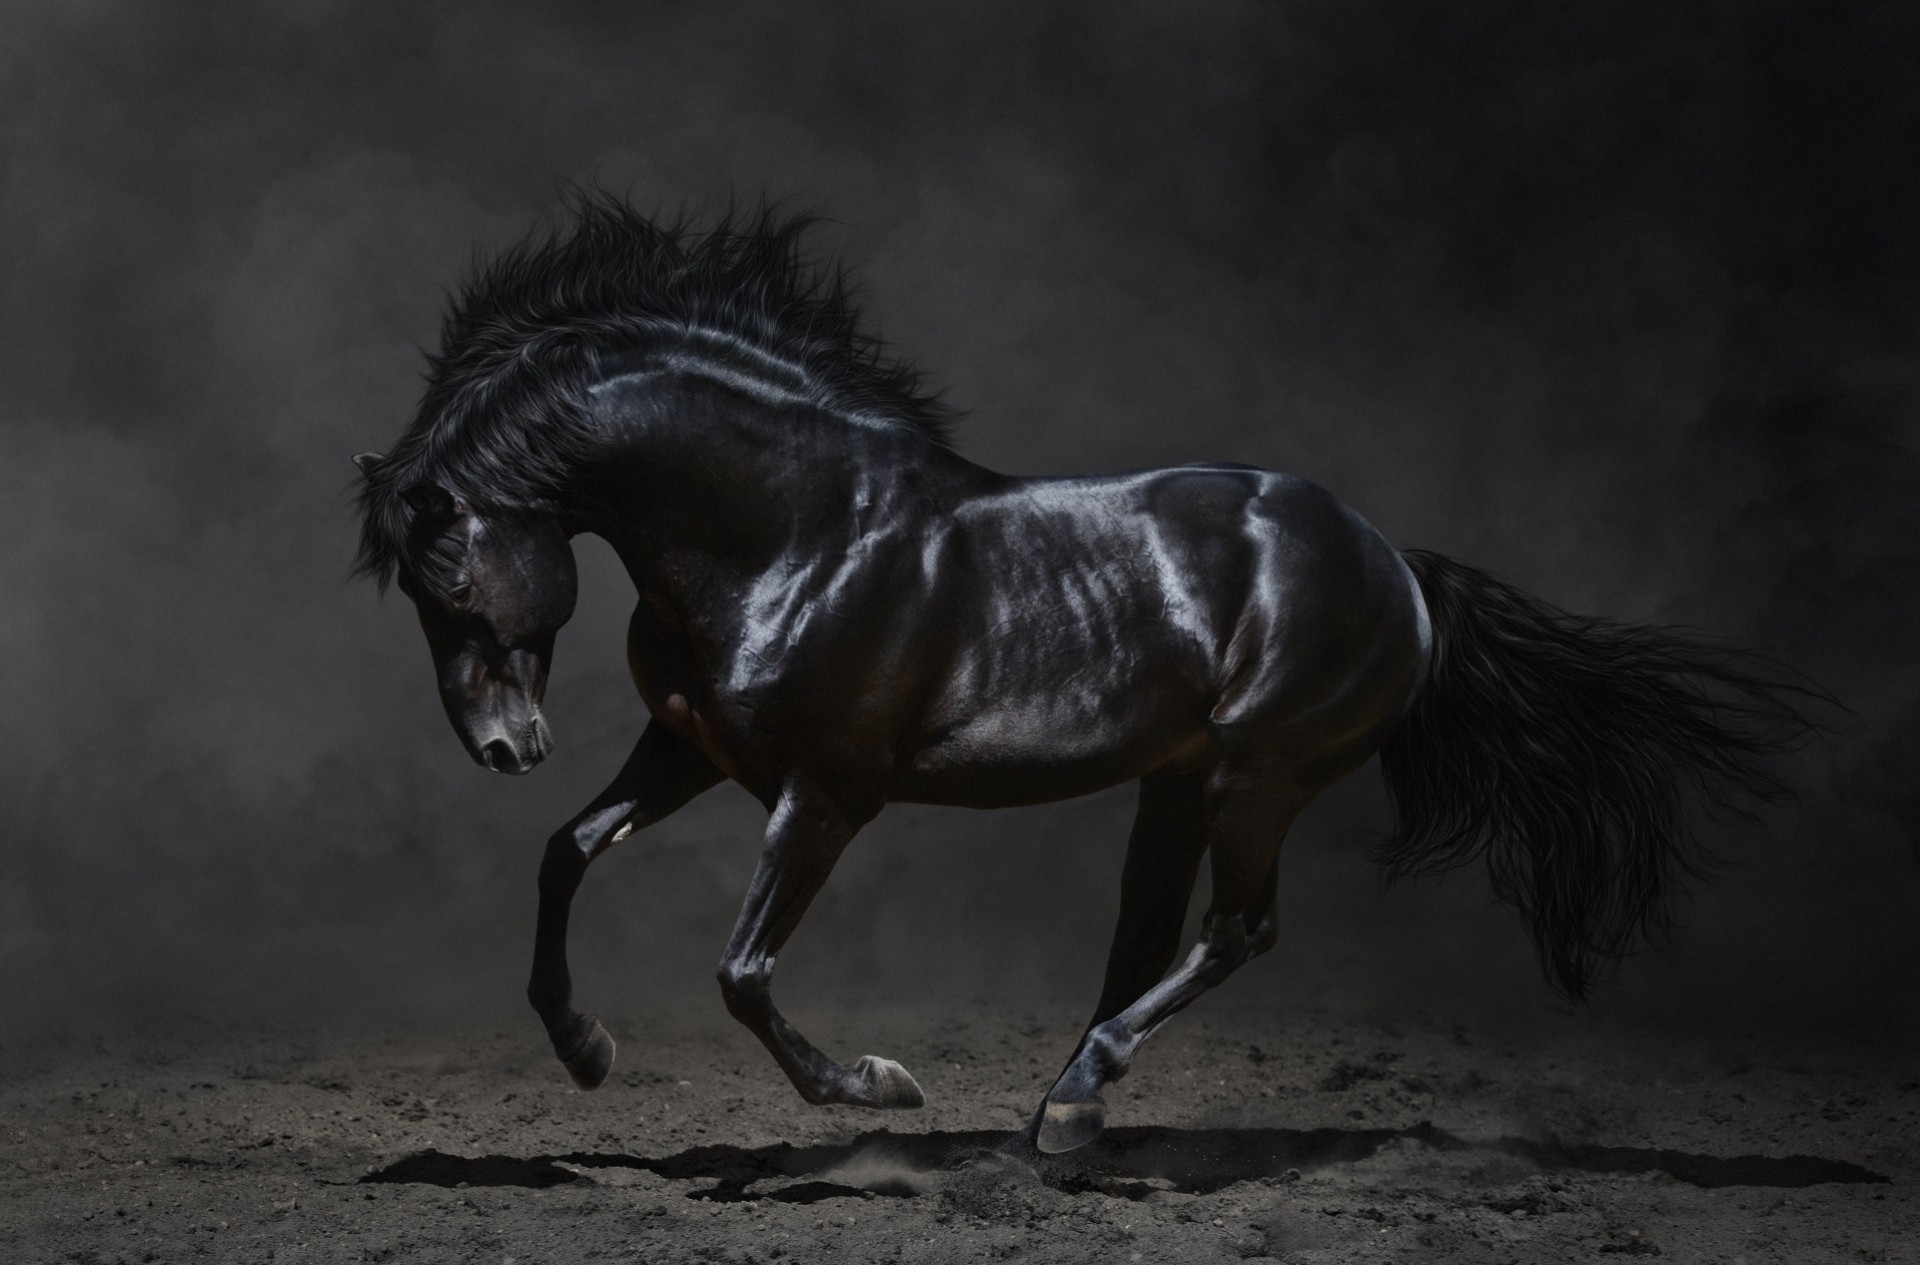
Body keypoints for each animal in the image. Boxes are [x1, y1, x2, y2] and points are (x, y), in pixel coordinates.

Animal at [353, 195, 1813, 1156]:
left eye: (449, 580)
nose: (502, 745)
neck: (797, 532)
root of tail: (1398, 564)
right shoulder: (694, 749)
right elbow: (567, 850)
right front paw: (584, 1048)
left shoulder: (824, 793)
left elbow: (744, 970)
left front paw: (879, 1086)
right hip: (1179, 780)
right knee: (1147, 937)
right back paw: (1061, 1113)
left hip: (1257, 773)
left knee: (1237, 930)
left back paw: (1070, 1102)